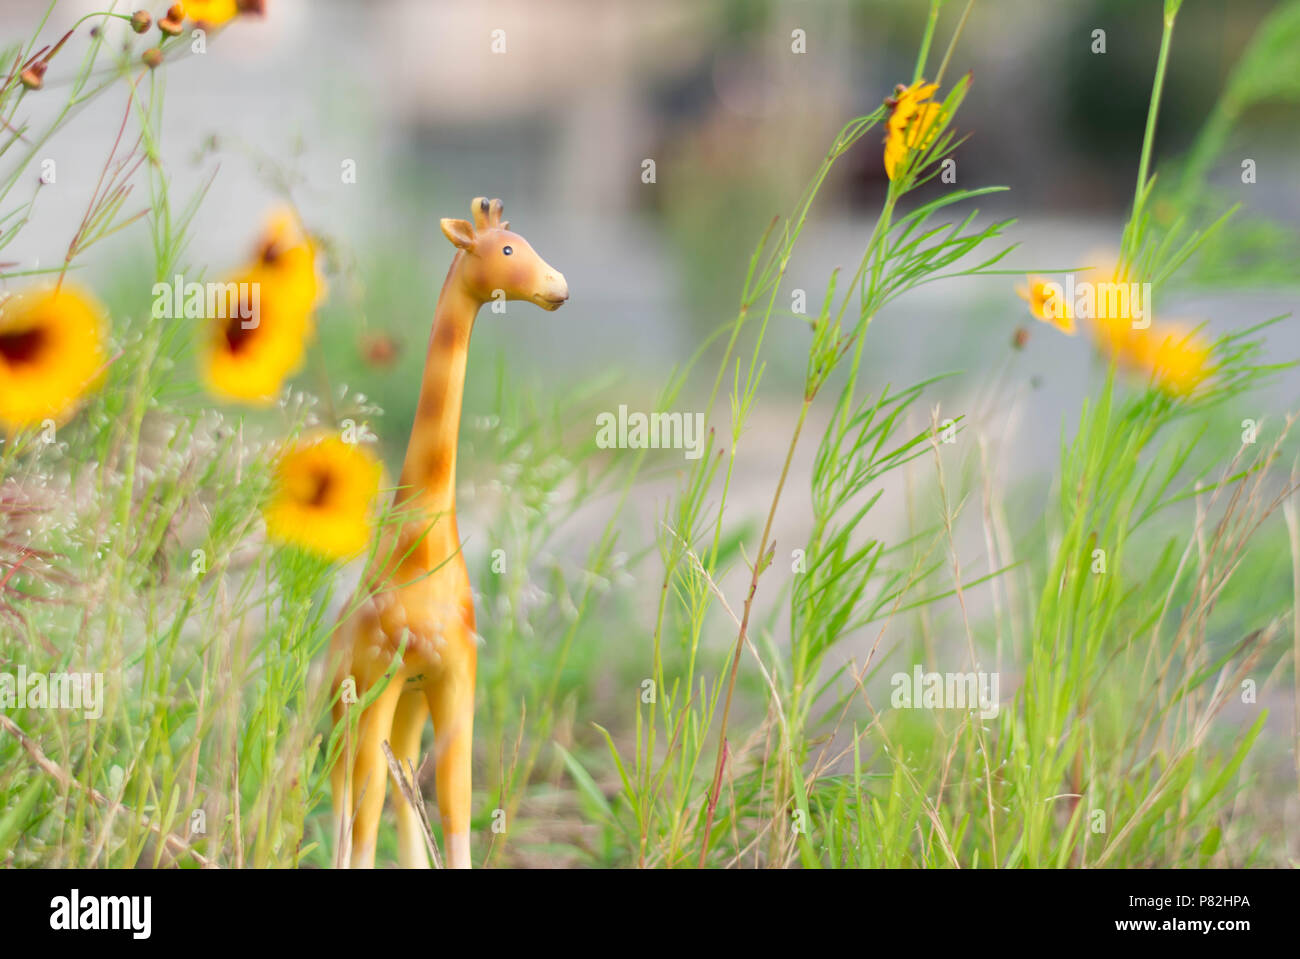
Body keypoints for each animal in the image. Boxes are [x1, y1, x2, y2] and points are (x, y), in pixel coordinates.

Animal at [329, 197, 568, 869]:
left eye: (525, 243)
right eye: (508, 250)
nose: (558, 286)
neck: (421, 549)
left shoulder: (456, 677)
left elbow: (456, 804)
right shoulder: (382, 678)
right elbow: (368, 812)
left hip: (409, 703)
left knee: (399, 780)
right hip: (346, 704)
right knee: (346, 795)